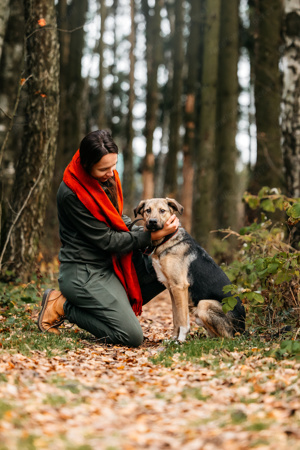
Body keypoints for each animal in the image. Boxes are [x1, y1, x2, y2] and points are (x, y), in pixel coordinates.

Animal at [134, 197, 246, 342]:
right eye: (148, 210)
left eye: (162, 210)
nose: (152, 222)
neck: (167, 240)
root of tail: (243, 330)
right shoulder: (172, 289)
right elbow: (176, 319)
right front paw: (173, 339)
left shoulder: (180, 287)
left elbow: (182, 320)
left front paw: (180, 340)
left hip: (204, 305)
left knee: (226, 338)